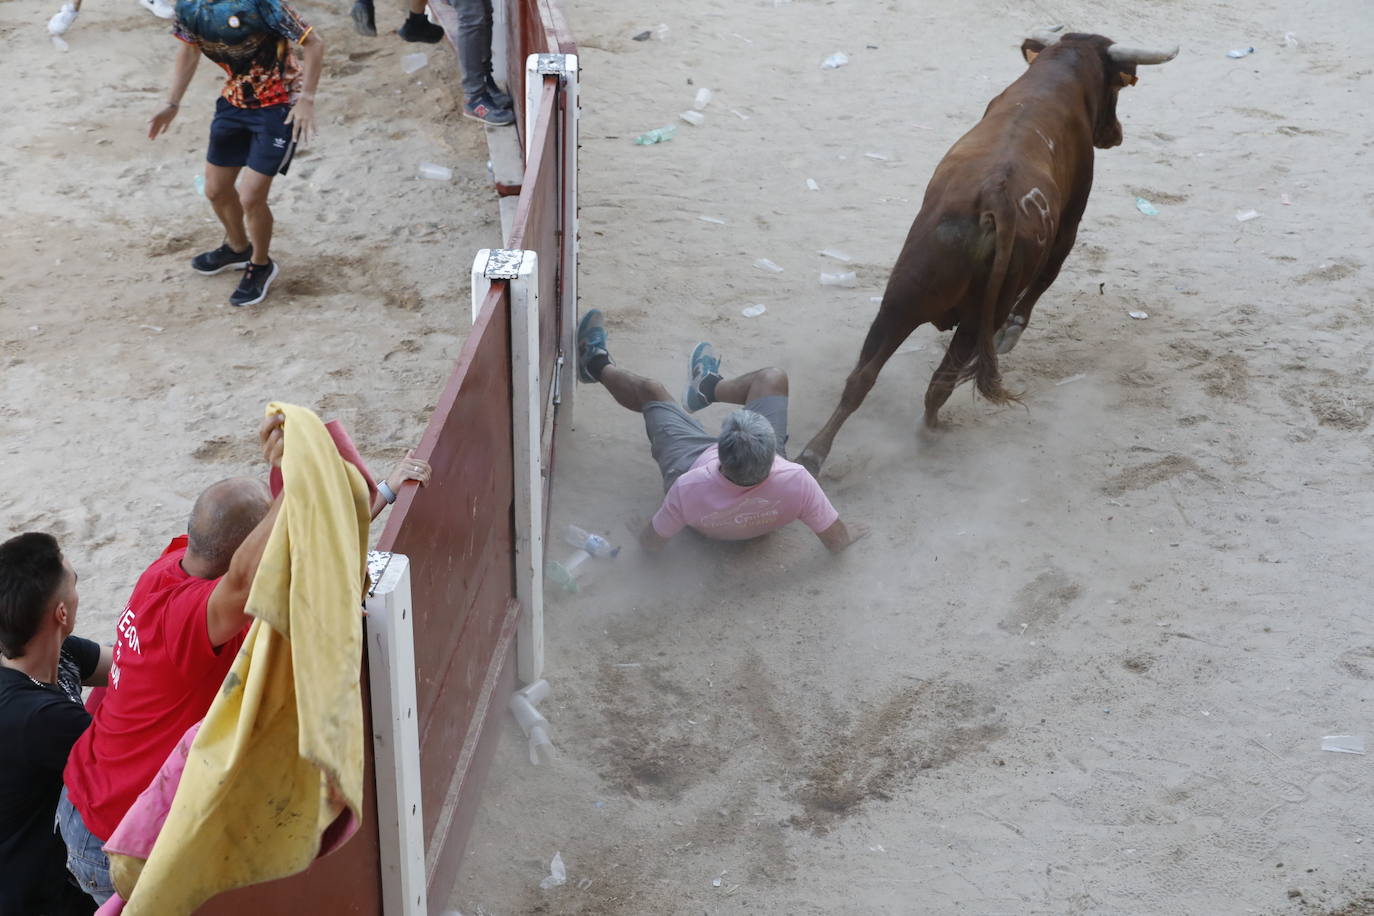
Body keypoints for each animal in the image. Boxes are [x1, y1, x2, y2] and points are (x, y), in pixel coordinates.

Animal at [802, 30, 1176, 472]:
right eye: (1116, 87)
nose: (1115, 133)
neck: (1060, 72)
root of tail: (994, 197)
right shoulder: (1071, 218)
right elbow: (1046, 278)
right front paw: (1013, 331)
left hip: (902, 297)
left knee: (863, 377)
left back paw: (815, 453)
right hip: (979, 312)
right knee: (940, 382)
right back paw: (930, 431)